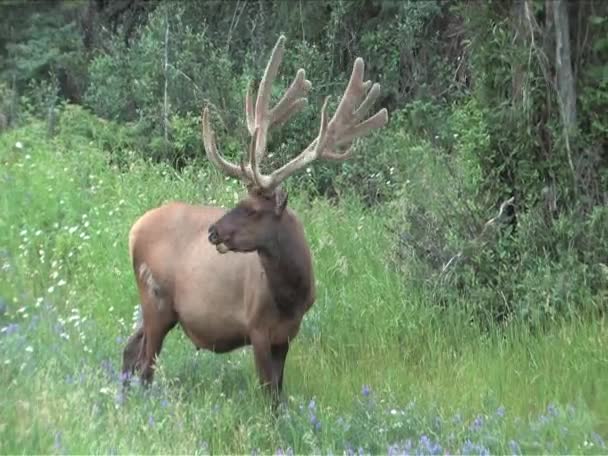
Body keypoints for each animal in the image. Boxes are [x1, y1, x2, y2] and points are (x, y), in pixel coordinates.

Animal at [121, 35, 388, 400]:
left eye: (252, 210)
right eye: (239, 200)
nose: (213, 232)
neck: (290, 295)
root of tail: (134, 230)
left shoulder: (287, 334)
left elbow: (279, 394)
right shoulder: (257, 328)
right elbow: (268, 394)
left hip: (158, 308)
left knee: (129, 351)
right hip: (155, 299)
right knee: (145, 364)